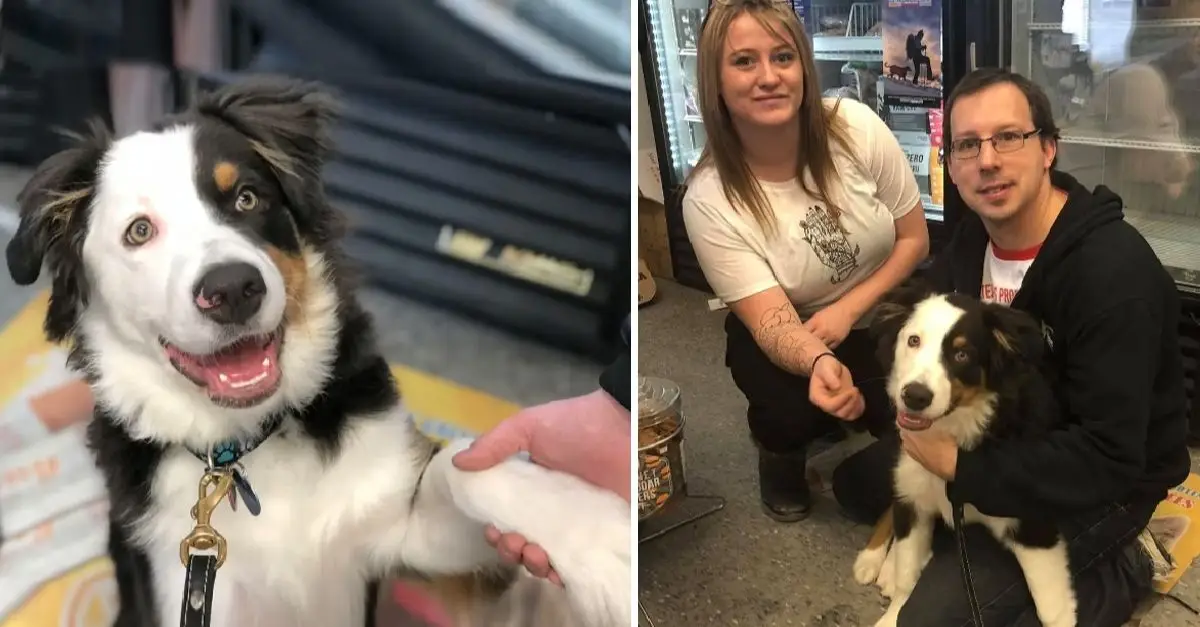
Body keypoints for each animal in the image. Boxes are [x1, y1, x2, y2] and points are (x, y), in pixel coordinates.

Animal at [0, 76, 633, 624]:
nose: (233, 289)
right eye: (138, 231)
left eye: (247, 198)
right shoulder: (189, 586)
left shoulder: (397, 532)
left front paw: (600, 535)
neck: (245, 450)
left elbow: (461, 465)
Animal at [849, 282, 1075, 624]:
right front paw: (892, 613)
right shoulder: (915, 494)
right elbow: (906, 580)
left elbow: (1052, 609)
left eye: (961, 354)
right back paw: (875, 560)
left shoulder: (1033, 523)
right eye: (913, 340)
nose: (915, 396)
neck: (953, 430)